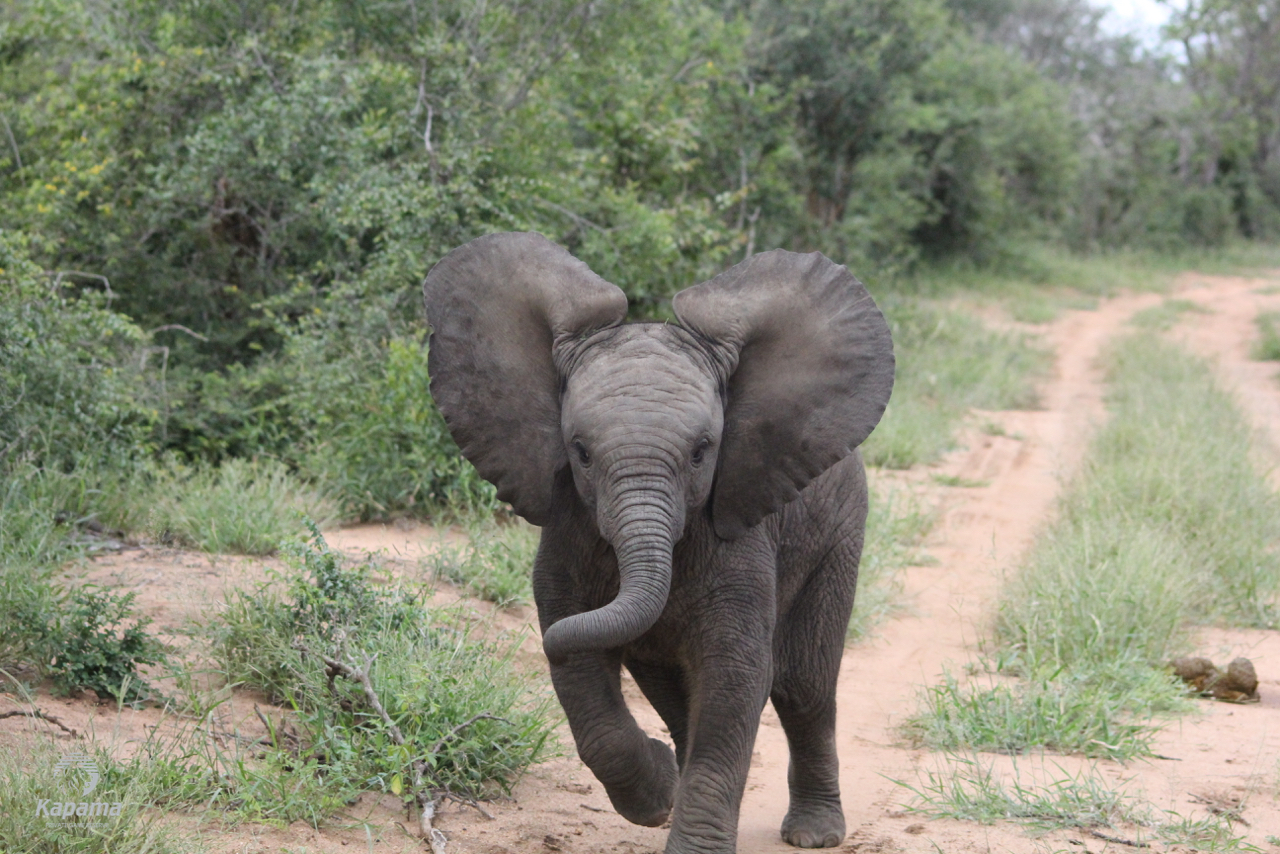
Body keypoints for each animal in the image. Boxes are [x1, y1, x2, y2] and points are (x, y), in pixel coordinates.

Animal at [422, 232, 894, 853]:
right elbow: (586, 682)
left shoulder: (741, 531)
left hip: (840, 528)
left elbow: (738, 674)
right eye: (580, 452)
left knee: (802, 685)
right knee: (674, 690)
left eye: (701, 451)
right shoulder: (568, 533)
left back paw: (813, 833)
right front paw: (658, 792)